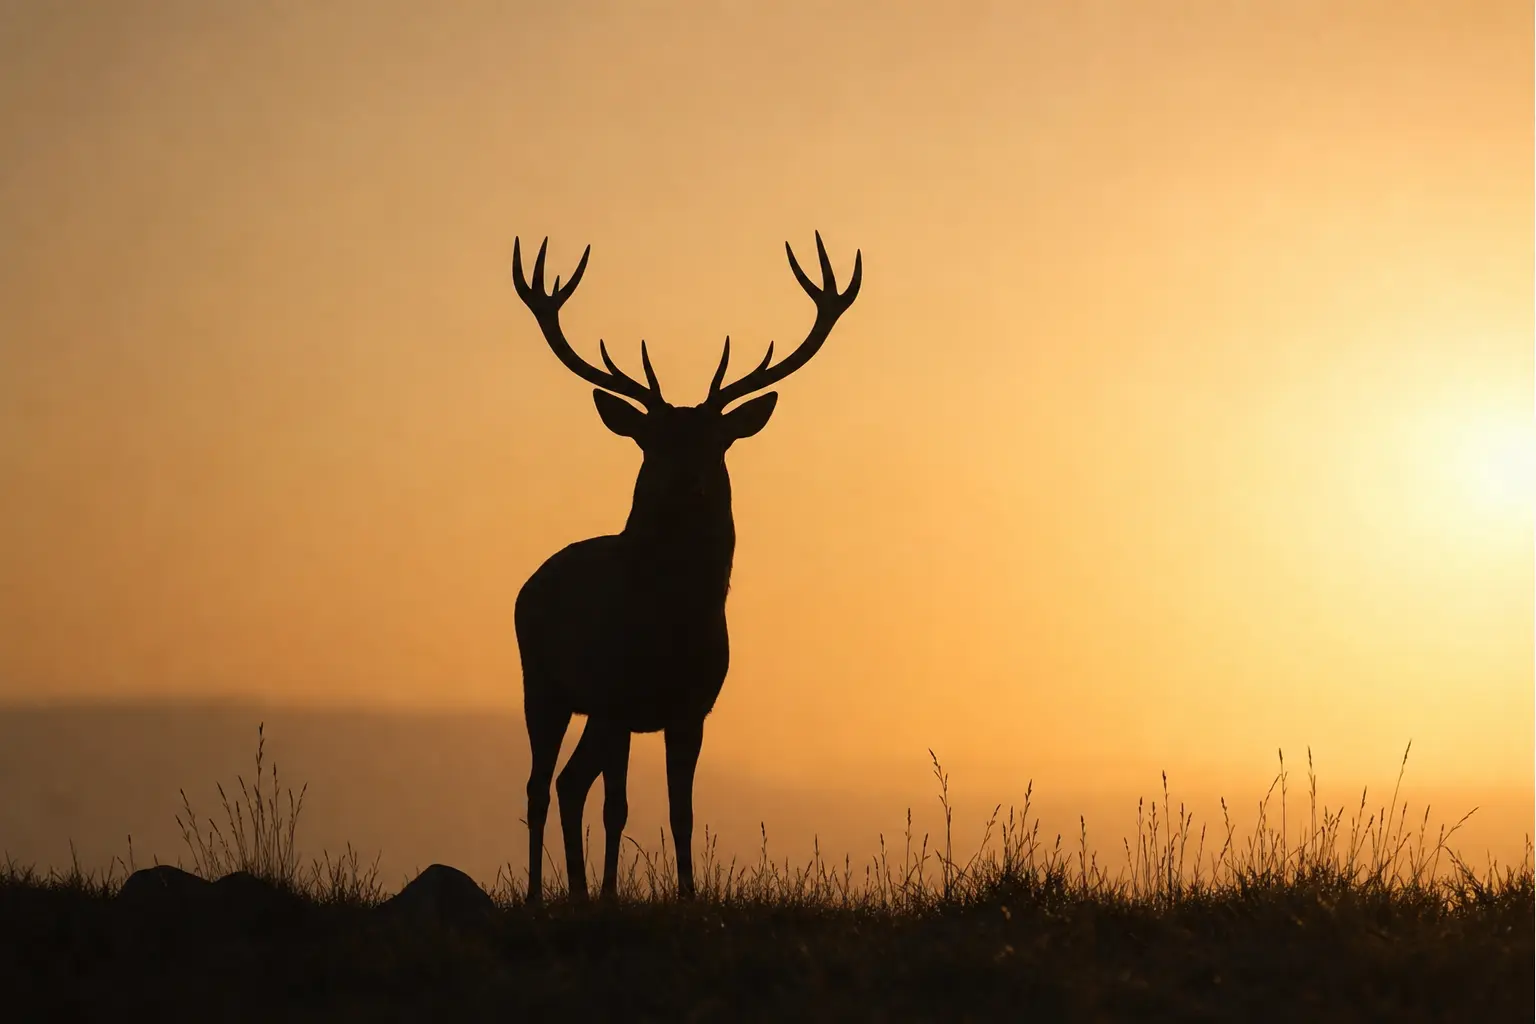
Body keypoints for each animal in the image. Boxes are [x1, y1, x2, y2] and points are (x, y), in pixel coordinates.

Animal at [509, 231, 862, 903]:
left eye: (716, 441)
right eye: (653, 441)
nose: (687, 481)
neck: (670, 625)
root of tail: (529, 584)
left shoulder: (692, 707)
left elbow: (682, 811)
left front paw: (687, 900)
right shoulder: (616, 694)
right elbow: (617, 806)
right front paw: (612, 901)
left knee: (568, 781)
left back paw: (576, 892)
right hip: (543, 682)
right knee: (540, 784)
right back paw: (544, 897)